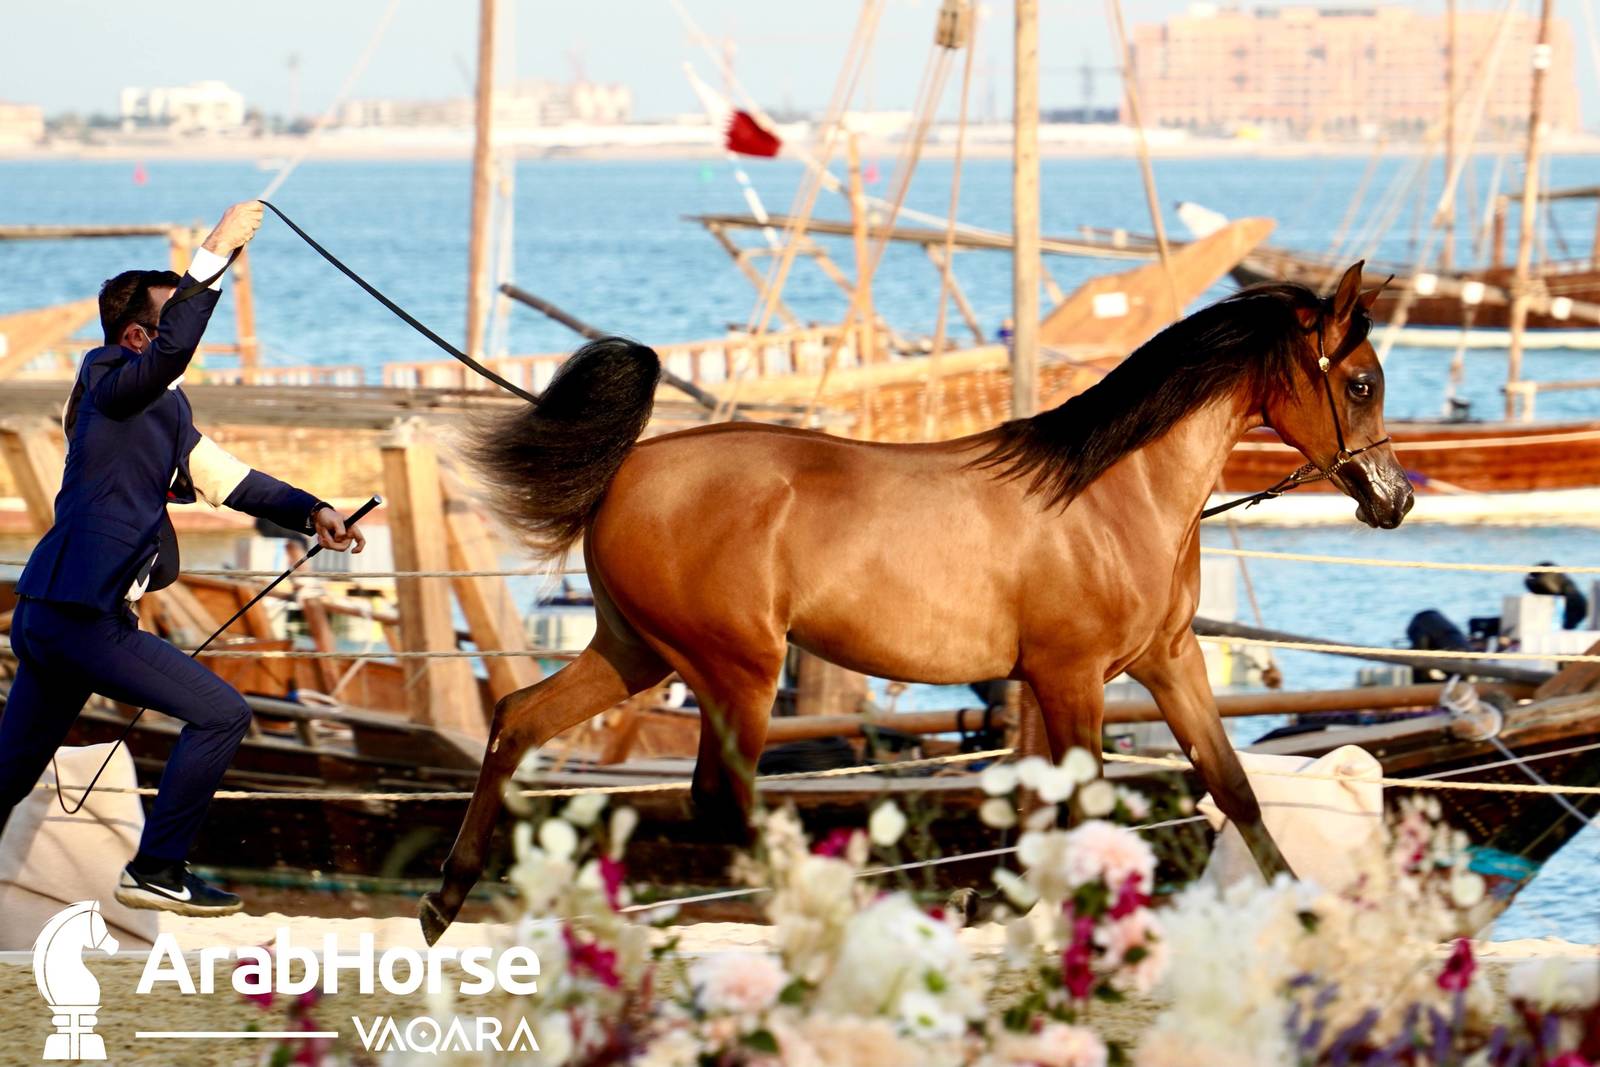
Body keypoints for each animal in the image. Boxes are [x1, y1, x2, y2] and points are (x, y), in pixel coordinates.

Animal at [419, 260, 1413, 944]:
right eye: (1362, 381)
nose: (1394, 498)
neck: (1113, 491)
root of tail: (627, 468)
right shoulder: (1072, 674)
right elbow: (1080, 807)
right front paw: (1022, 913)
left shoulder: (1166, 661)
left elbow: (1229, 787)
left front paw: (1302, 912)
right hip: (735, 667)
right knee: (722, 800)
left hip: (636, 649)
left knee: (517, 717)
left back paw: (442, 899)